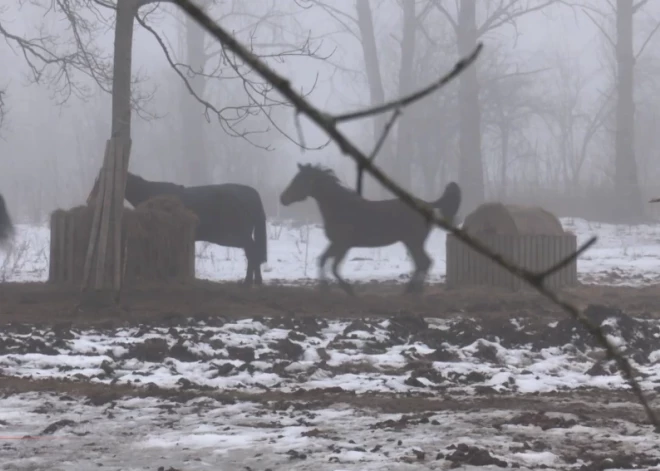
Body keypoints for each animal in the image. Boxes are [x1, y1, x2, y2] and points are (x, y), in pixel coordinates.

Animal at [88, 172, 268, 286]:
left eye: (102, 182)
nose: (90, 200)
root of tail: (252, 194)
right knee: (254, 252)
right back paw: (255, 281)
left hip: (236, 236)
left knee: (252, 251)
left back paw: (248, 282)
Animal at [278, 162, 458, 296]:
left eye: (299, 180)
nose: (282, 198)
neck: (340, 207)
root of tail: (428, 205)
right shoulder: (336, 244)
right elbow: (322, 260)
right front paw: (324, 289)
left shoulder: (343, 245)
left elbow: (334, 267)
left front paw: (348, 290)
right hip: (411, 242)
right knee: (422, 263)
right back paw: (411, 290)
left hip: (414, 241)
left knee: (424, 262)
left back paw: (413, 291)